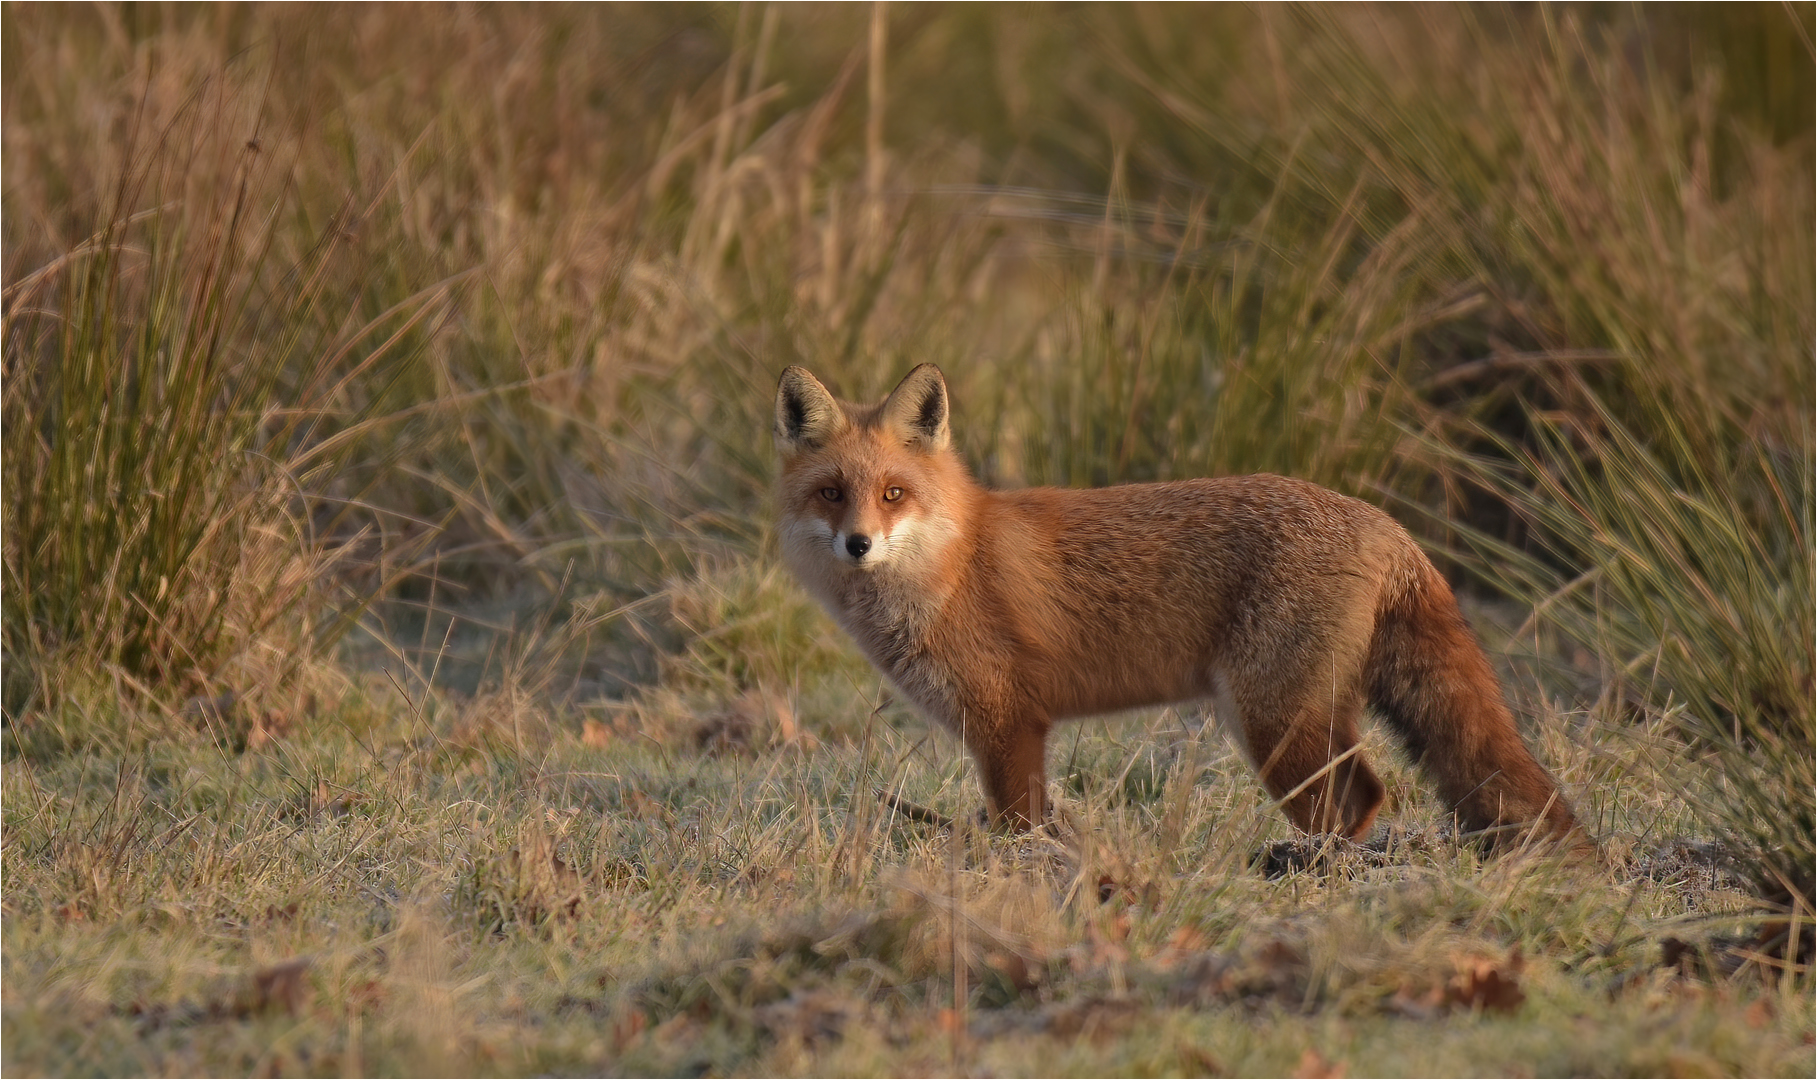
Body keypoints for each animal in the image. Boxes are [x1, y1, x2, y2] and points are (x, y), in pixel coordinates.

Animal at [774, 361, 1584, 840]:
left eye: (893, 494)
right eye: (831, 494)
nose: (859, 545)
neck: (951, 562)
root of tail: (1388, 523)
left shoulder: (1009, 723)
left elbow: (1018, 828)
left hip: (1272, 722)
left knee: (1352, 800)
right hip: (1303, 717)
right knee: (1367, 794)